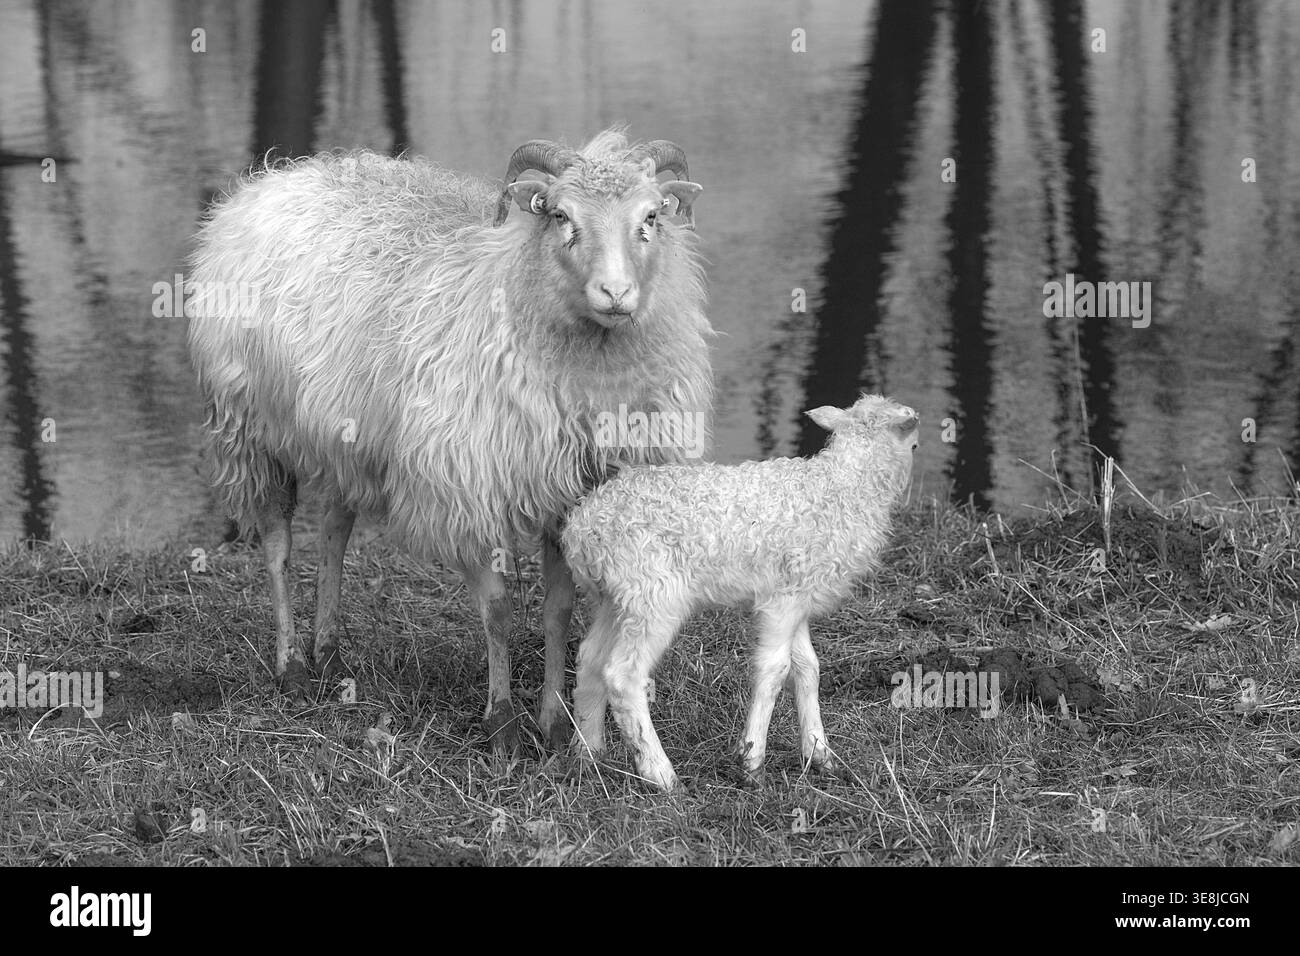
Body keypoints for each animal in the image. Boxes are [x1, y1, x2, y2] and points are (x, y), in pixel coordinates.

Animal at [186, 128, 713, 752]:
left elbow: (558, 611)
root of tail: (273, 177)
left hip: (344, 432)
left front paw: (555, 723)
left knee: (335, 529)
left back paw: (329, 652)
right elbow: (497, 611)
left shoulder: (571, 492)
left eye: (652, 216)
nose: (616, 293)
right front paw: (502, 722)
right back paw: (291, 666)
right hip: (250, 427)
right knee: (277, 542)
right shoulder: (468, 488)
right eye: (560, 215)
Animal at [561, 394, 919, 790]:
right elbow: (774, 670)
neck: (844, 489)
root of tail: (582, 528)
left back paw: (588, 755)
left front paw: (820, 755)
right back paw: (661, 775)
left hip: (615, 598)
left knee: (591, 658)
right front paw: (751, 763)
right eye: (914, 443)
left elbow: (807, 668)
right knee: (624, 676)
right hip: (654, 595)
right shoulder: (782, 603)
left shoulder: (795, 597)